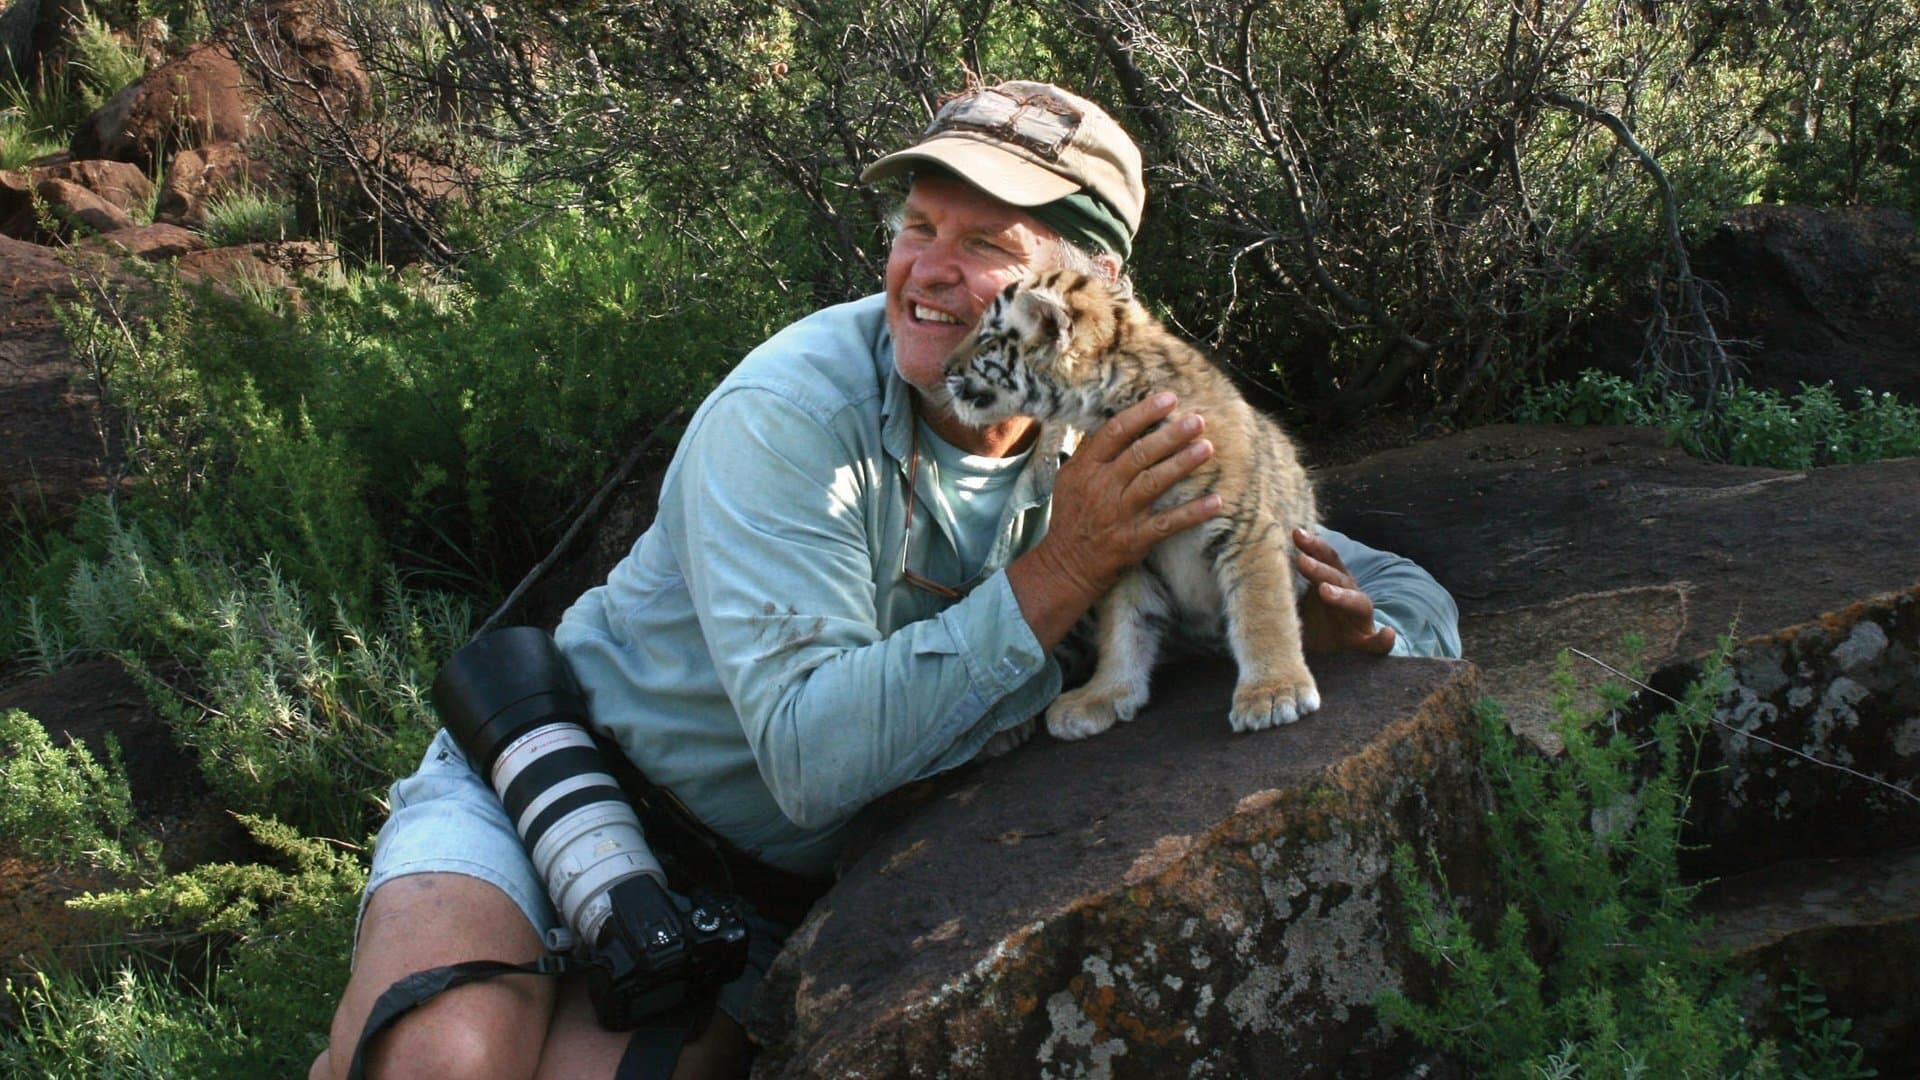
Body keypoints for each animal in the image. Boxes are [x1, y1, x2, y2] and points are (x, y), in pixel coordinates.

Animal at [943, 268, 1321, 740]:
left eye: (986, 339)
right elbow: (1123, 629)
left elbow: (1261, 610)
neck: (1106, 405)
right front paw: (1101, 696)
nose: (944, 368)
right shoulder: (1124, 543)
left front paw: (1273, 693)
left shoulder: (1242, 525)